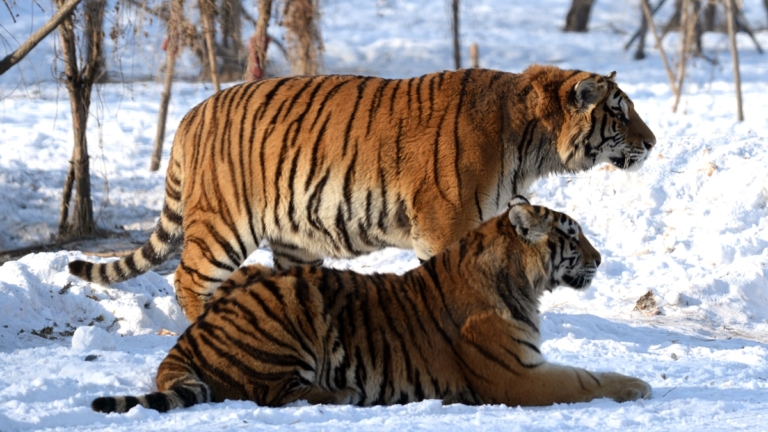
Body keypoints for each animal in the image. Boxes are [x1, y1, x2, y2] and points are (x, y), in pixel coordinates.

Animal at [69, 65, 657, 322]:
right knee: (187, 280)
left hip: (294, 239)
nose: (652, 142)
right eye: (619, 112)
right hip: (223, 225)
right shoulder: (444, 224)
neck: (533, 141)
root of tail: (192, 113)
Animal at [90, 196, 652, 413]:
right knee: (271, 394)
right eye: (572, 236)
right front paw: (639, 386)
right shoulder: (517, 376)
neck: (520, 281)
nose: (600, 259)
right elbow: (587, 379)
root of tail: (189, 338)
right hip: (287, 306)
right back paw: (344, 394)